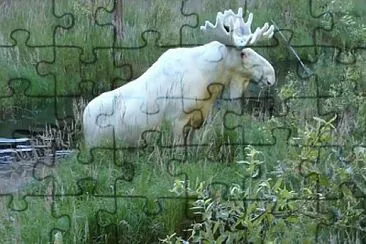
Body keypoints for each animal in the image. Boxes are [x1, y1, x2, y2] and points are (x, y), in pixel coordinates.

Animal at [83, 7, 276, 148]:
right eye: (243, 53)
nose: (271, 75)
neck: (211, 82)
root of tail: (83, 121)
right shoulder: (176, 121)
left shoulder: (198, 120)